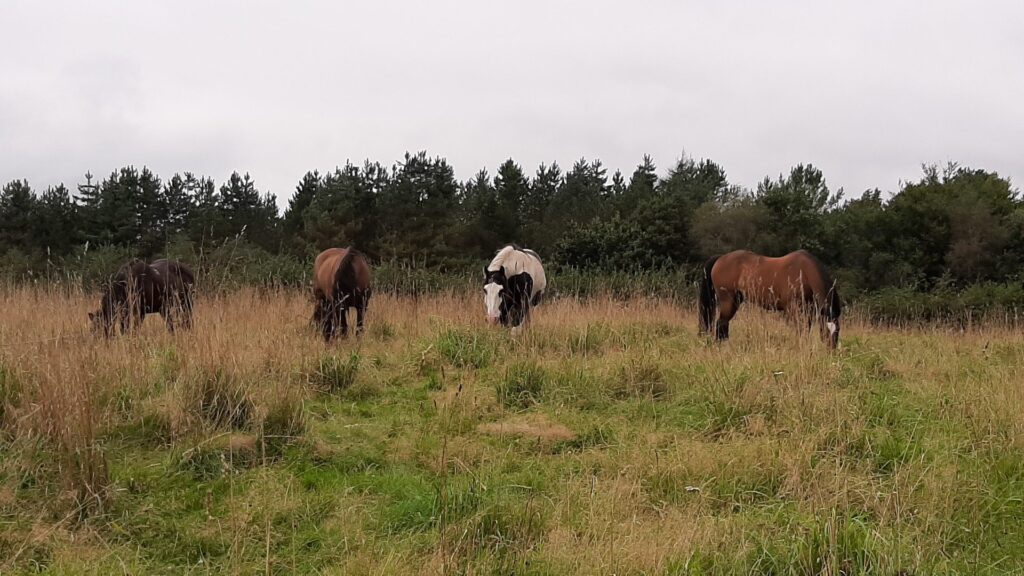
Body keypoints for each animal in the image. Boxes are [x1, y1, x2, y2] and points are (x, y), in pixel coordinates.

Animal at [700, 249, 843, 348]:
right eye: (826, 331)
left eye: (838, 330)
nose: (831, 350)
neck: (804, 272)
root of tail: (721, 258)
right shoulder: (793, 310)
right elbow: (800, 330)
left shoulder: (809, 311)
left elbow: (805, 330)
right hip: (728, 301)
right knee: (721, 323)